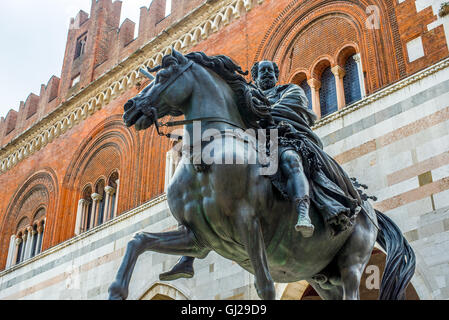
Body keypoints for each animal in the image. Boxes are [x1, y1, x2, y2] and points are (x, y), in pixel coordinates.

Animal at [107, 50, 414, 300]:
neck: (205, 157)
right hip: (324, 278)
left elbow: (265, 286)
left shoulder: (248, 222)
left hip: (352, 263)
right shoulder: (196, 237)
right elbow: (137, 240)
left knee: (292, 160)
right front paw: (118, 290)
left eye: (164, 73)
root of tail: (369, 209)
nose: (130, 106)